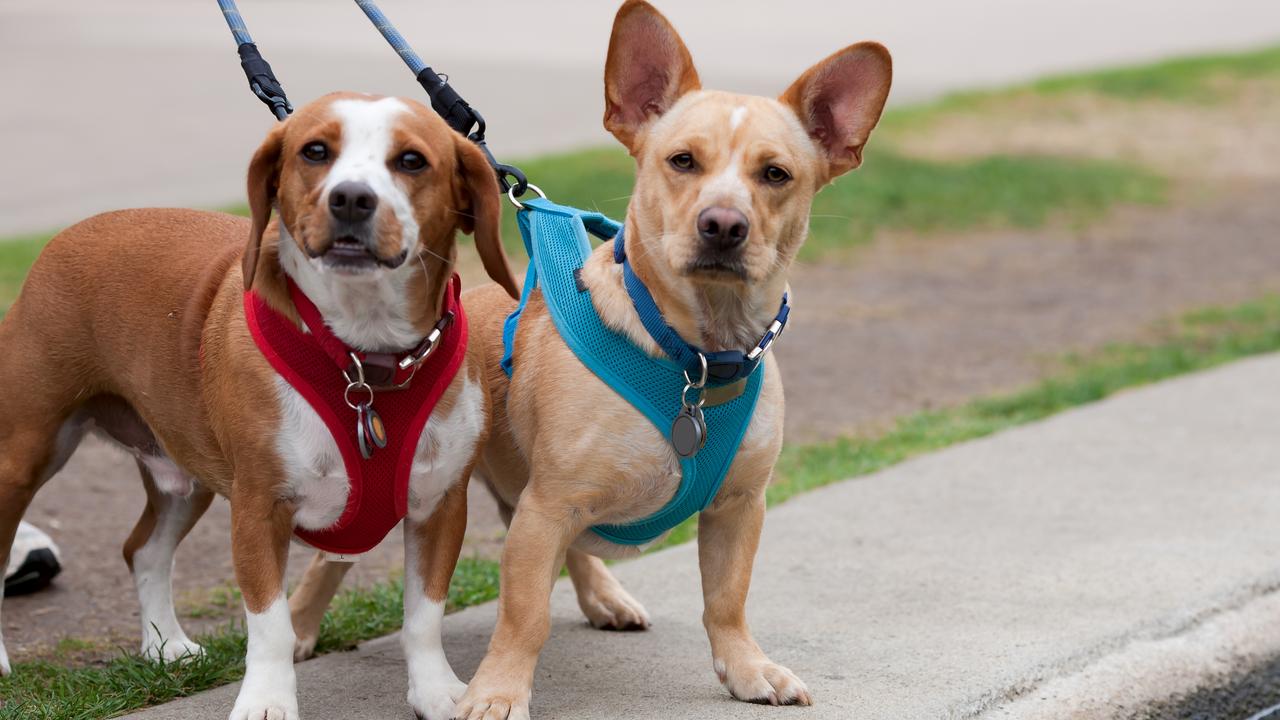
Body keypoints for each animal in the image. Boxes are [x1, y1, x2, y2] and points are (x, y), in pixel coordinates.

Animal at [1, 90, 519, 717]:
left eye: (413, 161)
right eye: (314, 151)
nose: (350, 198)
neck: (362, 357)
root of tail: (71, 233)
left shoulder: (440, 506)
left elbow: (423, 616)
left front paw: (437, 691)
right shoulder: (258, 508)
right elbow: (270, 624)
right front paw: (268, 700)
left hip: (185, 478)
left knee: (143, 550)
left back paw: (165, 645)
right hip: (24, 455)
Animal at [435, 2, 896, 712]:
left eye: (776, 174)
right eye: (682, 161)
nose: (724, 225)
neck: (698, 357)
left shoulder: (739, 507)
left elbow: (727, 600)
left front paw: (747, 668)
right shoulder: (548, 507)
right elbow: (524, 613)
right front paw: (499, 690)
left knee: (579, 555)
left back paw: (604, 595)